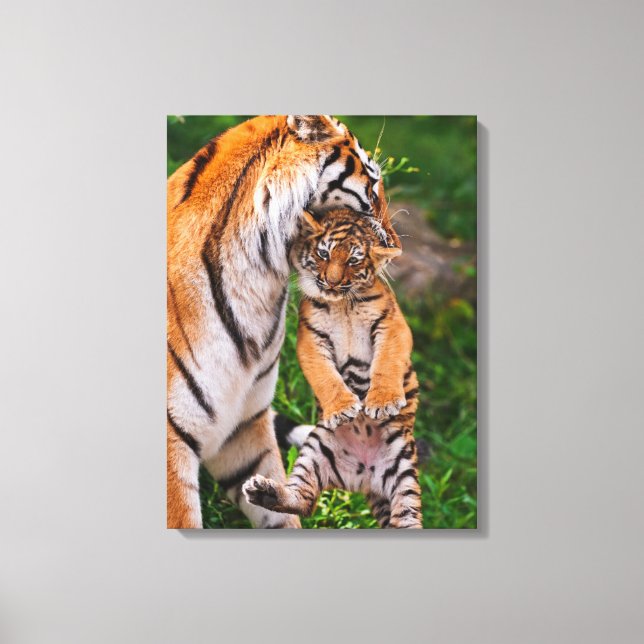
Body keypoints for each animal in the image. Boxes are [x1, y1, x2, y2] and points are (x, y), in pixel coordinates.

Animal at [242, 208, 422, 528]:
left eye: (353, 260)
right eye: (323, 253)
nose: (332, 282)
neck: (342, 305)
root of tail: (366, 480)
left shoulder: (392, 325)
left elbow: (387, 362)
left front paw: (382, 402)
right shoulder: (311, 339)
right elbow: (325, 376)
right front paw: (343, 409)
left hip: (403, 469)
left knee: (407, 515)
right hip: (316, 450)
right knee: (304, 501)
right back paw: (264, 492)